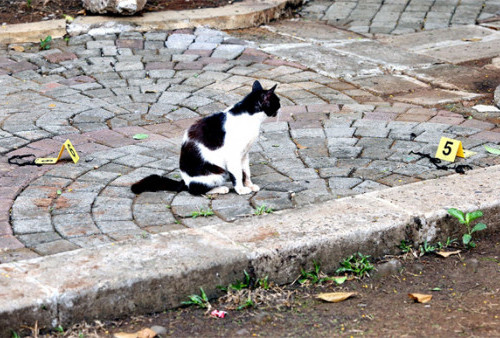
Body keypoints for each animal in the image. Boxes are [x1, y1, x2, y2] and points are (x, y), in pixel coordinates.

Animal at [132, 80, 282, 195]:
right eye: (277, 102)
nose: (281, 107)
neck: (250, 118)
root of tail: (185, 182)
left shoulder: (244, 154)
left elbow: (246, 172)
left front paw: (249, 185)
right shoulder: (233, 156)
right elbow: (237, 174)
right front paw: (240, 189)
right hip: (216, 172)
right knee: (196, 190)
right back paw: (221, 188)